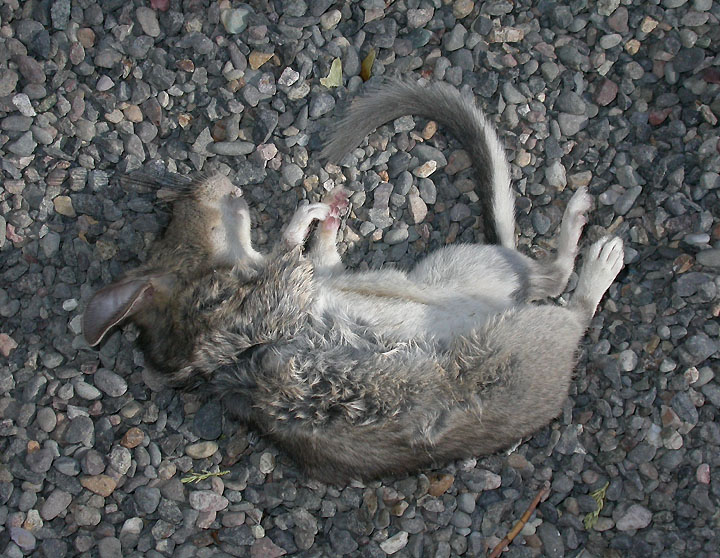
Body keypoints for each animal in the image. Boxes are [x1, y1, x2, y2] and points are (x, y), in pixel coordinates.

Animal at [83, 80, 624, 483]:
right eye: (179, 218)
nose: (213, 176)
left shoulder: (320, 274)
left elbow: (320, 254)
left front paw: (333, 206)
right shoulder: (273, 295)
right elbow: (290, 248)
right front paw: (312, 210)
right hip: (475, 277)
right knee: (565, 289)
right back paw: (598, 243)